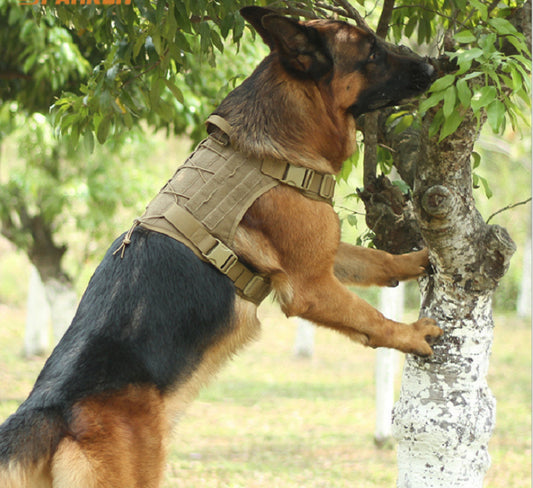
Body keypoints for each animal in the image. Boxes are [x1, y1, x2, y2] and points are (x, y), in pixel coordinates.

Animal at [0, 7, 440, 488]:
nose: (435, 67)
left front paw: (419, 258)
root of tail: (49, 410)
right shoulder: (309, 286)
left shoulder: (322, 254)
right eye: (372, 53)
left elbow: (378, 261)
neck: (272, 147)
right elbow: (370, 319)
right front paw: (411, 334)